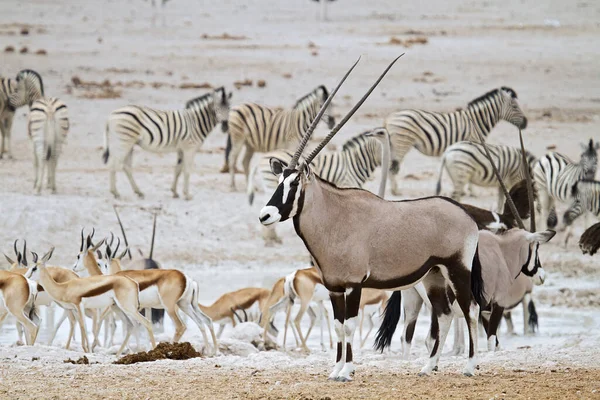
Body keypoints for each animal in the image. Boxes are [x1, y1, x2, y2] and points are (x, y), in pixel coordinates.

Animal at [26, 247, 156, 356]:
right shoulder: (74, 309)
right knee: (130, 325)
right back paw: (118, 355)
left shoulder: (79, 306)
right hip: (117, 308)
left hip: (128, 308)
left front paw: (88, 351)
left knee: (146, 322)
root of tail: (133, 282)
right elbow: (82, 326)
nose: (26, 277)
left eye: (34, 268)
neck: (65, 288)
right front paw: (87, 350)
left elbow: (84, 326)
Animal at [103, 87, 232, 200]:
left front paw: (174, 192)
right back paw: (115, 192)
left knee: (126, 167)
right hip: (122, 142)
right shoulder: (189, 148)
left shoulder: (181, 149)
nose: (225, 127)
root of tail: (111, 116)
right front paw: (187, 195)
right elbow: (187, 171)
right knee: (113, 165)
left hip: (128, 144)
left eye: (229, 108)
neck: (196, 122)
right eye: (217, 108)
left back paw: (138, 192)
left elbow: (178, 170)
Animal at [384, 86, 524, 195]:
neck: (477, 121)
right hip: (402, 143)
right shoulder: (472, 143)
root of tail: (389, 118)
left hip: (394, 145)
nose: (525, 123)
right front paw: (472, 192)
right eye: (515, 106)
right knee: (393, 168)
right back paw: (396, 191)